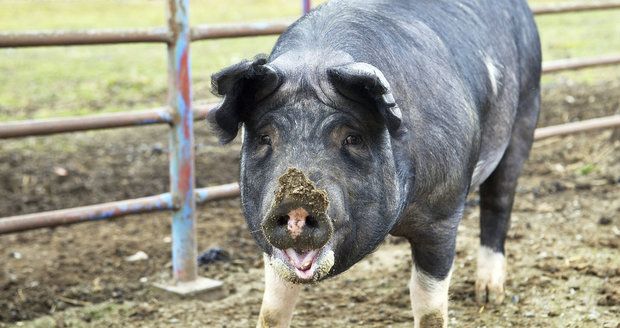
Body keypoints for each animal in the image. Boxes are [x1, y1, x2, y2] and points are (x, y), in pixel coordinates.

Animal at [207, 0, 536, 326]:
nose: (295, 201)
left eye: (352, 138)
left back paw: (490, 296)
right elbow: (273, 309)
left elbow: (430, 307)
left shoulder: (443, 214)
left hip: (523, 120)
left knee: (498, 203)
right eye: (265, 137)